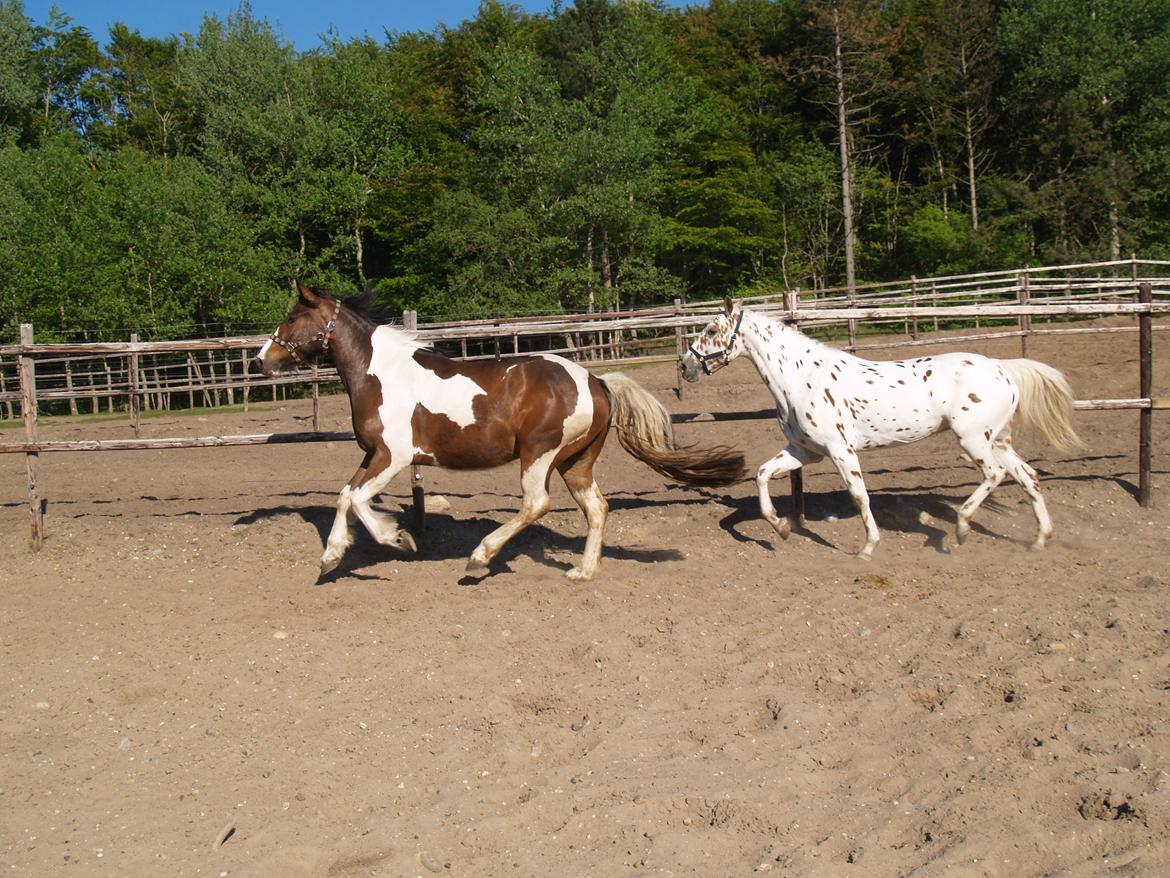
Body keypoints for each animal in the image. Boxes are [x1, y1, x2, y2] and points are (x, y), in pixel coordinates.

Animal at [256, 285, 744, 580]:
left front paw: (397, 538)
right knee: (597, 508)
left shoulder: (393, 456)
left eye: (294, 316)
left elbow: (357, 500)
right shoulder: (373, 454)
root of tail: (597, 382)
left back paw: (480, 558)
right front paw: (331, 557)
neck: (381, 374)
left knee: (536, 503)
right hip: (575, 462)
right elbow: (344, 495)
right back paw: (582, 572)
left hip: (539, 454)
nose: (262, 360)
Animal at [683, 296, 1081, 557]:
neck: (800, 377)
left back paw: (960, 530)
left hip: (973, 440)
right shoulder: (805, 451)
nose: (686, 365)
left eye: (711, 328)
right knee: (1029, 477)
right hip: (998, 440)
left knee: (995, 475)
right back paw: (1039, 540)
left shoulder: (840, 450)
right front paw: (780, 528)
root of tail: (1002, 368)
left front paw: (867, 547)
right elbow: (763, 474)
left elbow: (859, 495)